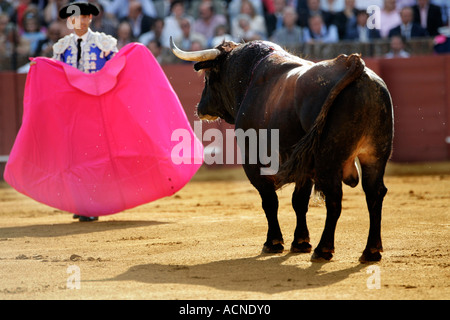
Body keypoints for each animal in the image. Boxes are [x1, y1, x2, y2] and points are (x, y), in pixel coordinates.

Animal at [172, 39, 394, 262]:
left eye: (208, 77)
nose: (200, 107)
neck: (250, 78)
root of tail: (353, 64)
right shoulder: (304, 166)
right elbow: (299, 201)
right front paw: (300, 242)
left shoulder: (252, 159)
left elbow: (270, 201)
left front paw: (273, 242)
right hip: (375, 154)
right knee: (375, 193)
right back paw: (371, 251)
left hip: (328, 159)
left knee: (334, 198)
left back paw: (324, 249)